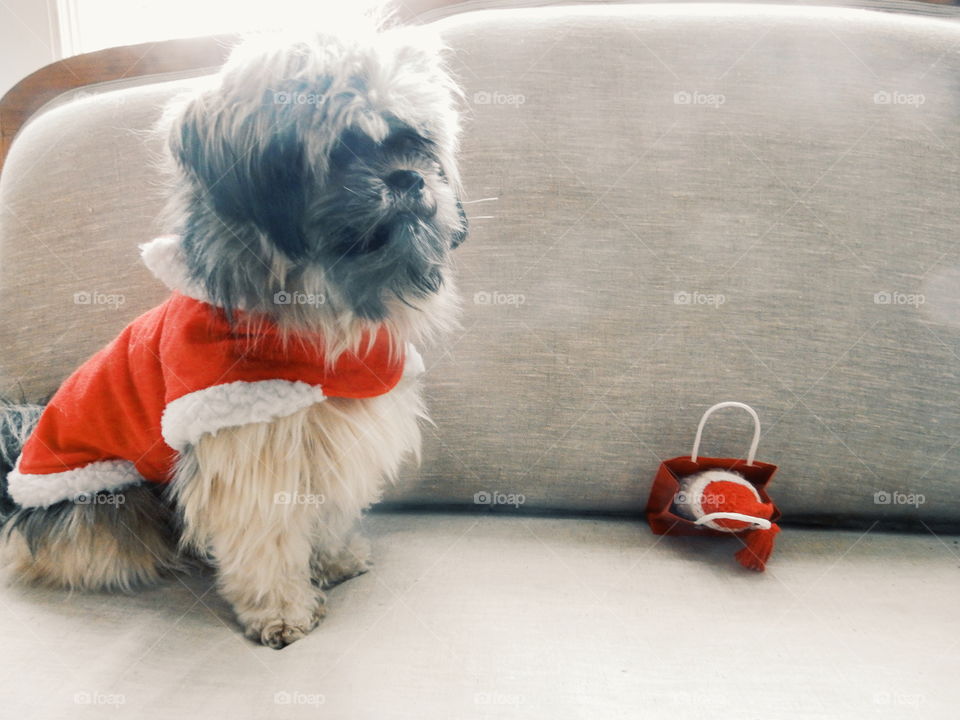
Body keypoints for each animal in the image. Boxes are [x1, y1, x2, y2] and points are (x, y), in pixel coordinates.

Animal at [0, 23, 468, 652]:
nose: (410, 177)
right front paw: (282, 610)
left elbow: (324, 509)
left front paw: (331, 560)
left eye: (416, 143)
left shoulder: (330, 433)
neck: (317, 316)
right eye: (342, 149)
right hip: (111, 500)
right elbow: (264, 538)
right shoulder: (249, 441)